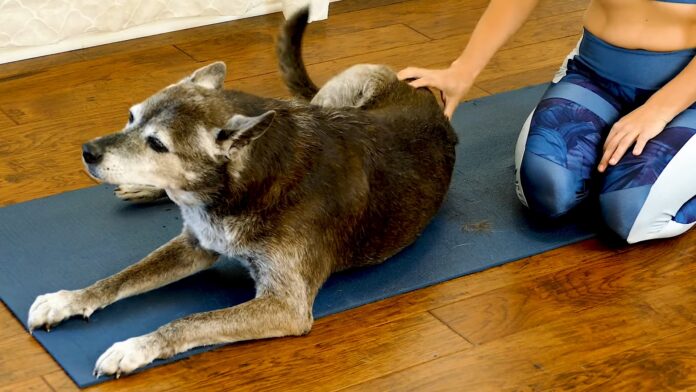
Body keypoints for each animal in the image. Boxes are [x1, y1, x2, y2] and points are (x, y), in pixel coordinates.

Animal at [25, 8, 456, 376]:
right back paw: (143, 189)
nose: (87, 151)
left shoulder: (285, 306)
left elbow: (190, 321)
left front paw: (135, 346)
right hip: (338, 94)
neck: (238, 190)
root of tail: (424, 95)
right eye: (131, 116)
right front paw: (68, 300)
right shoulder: (195, 244)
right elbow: (120, 278)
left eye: (158, 144)